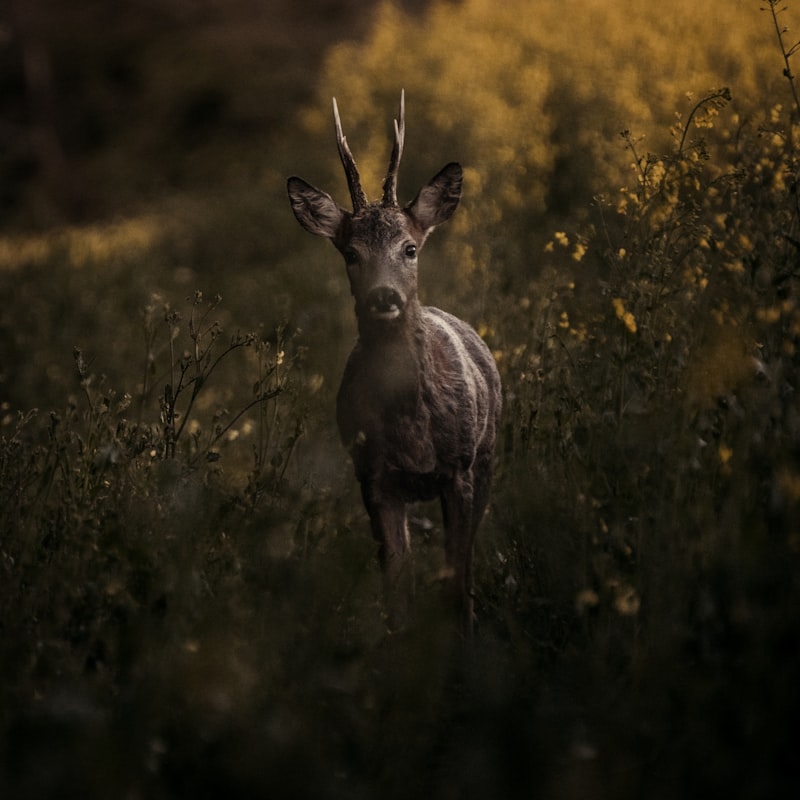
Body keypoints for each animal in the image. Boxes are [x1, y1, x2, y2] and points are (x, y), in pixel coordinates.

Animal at [287, 92, 501, 639]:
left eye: (410, 248)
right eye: (350, 253)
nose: (384, 297)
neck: (412, 432)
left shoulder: (458, 467)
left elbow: (456, 580)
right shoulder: (372, 475)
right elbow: (395, 592)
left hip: (488, 455)